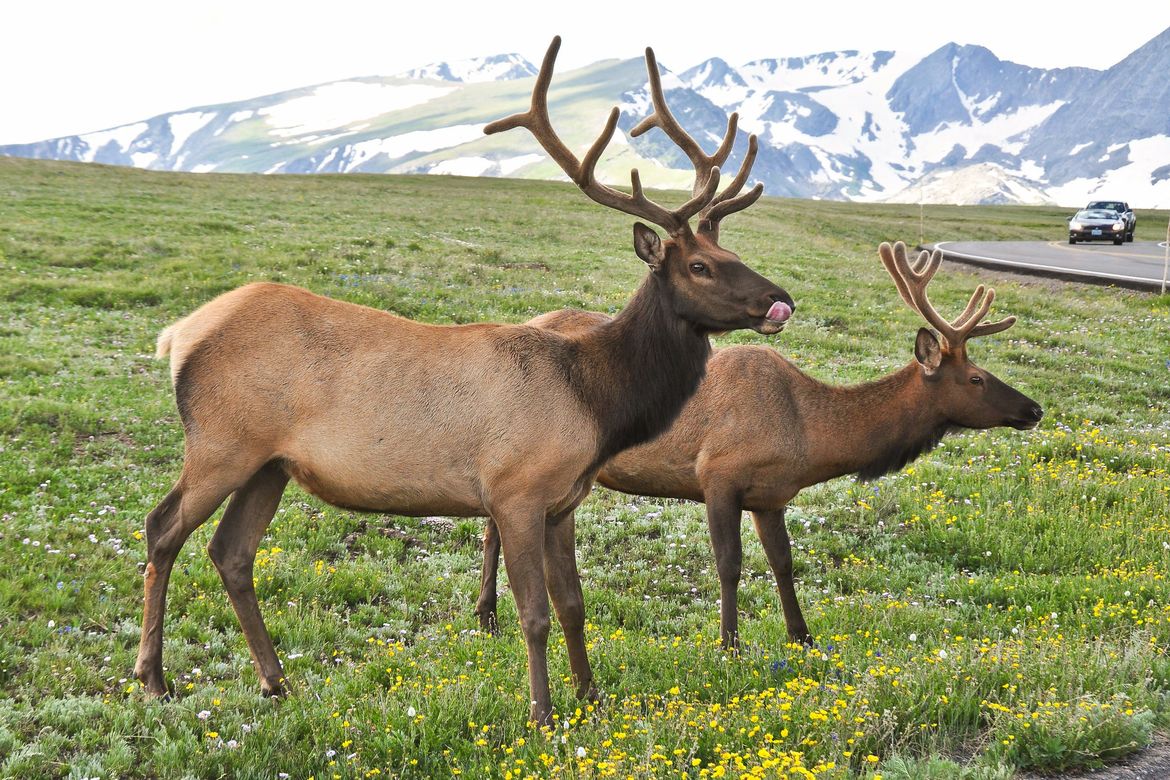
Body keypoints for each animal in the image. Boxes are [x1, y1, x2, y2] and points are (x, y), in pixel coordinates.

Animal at [132, 36, 795, 727]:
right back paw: (153, 679)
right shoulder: (515, 489)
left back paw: (275, 681)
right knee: (161, 529)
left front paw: (591, 698)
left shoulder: (562, 501)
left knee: (231, 552)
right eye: (699, 266)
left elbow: (574, 605)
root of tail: (178, 334)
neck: (594, 399)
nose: (780, 300)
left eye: (732, 254)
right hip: (221, 442)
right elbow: (533, 615)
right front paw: (543, 715)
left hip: (270, 464)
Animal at [475, 241, 1043, 649]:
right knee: (494, 528)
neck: (808, 435)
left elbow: (784, 563)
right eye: (975, 378)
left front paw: (802, 636)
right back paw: (487, 617)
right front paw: (729, 643)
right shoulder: (717, 475)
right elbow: (729, 564)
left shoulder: (771, 497)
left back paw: (487, 615)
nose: (1034, 409)